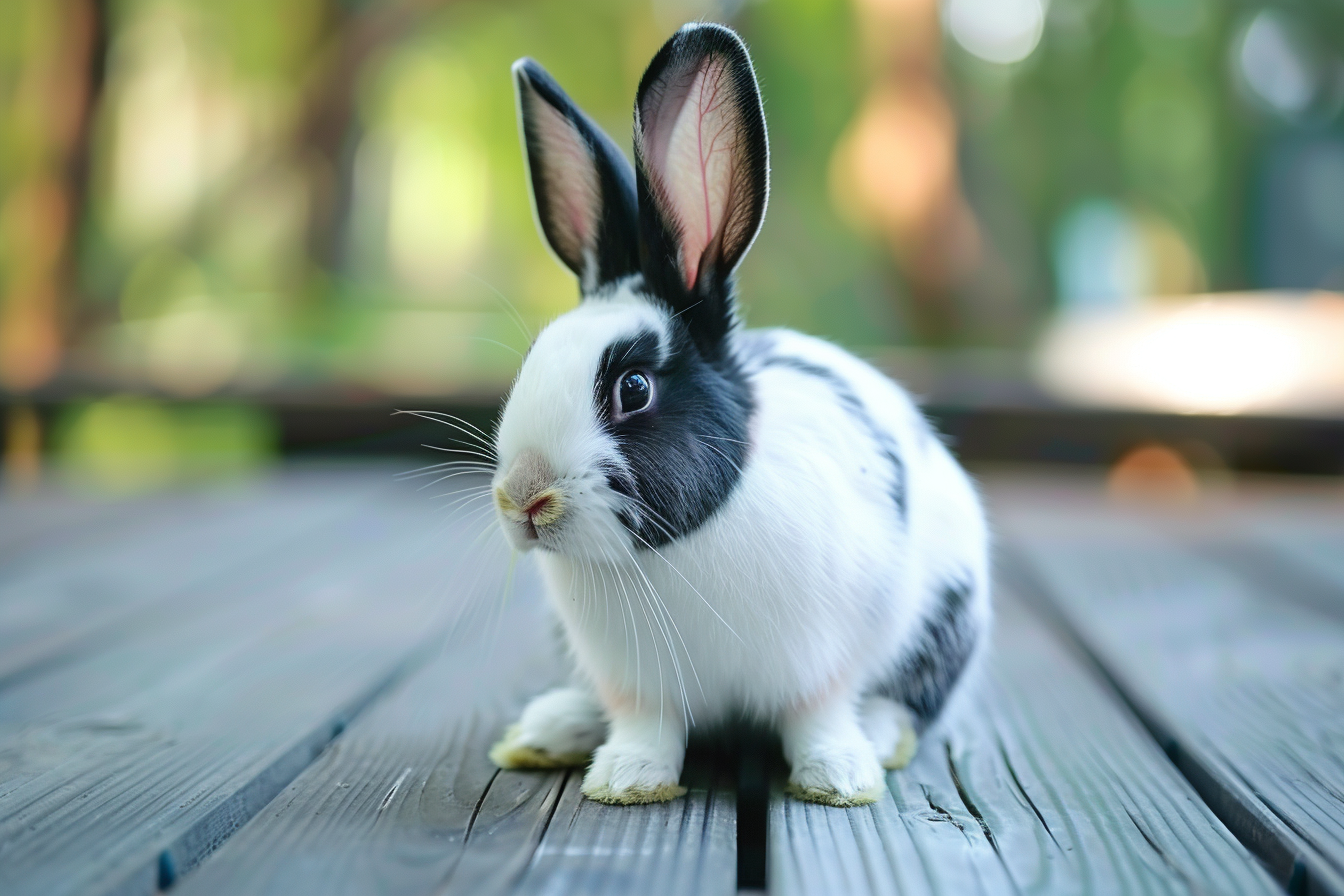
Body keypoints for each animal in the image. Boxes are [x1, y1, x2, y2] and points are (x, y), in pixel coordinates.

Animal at [487, 22, 991, 807]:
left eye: (634, 388)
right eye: (533, 359)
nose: (523, 499)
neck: (674, 555)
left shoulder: (822, 661)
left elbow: (818, 715)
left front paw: (838, 777)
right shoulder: (637, 684)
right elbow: (647, 726)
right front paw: (627, 779)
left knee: (903, 701)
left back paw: (878, 739)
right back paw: (551, 729)